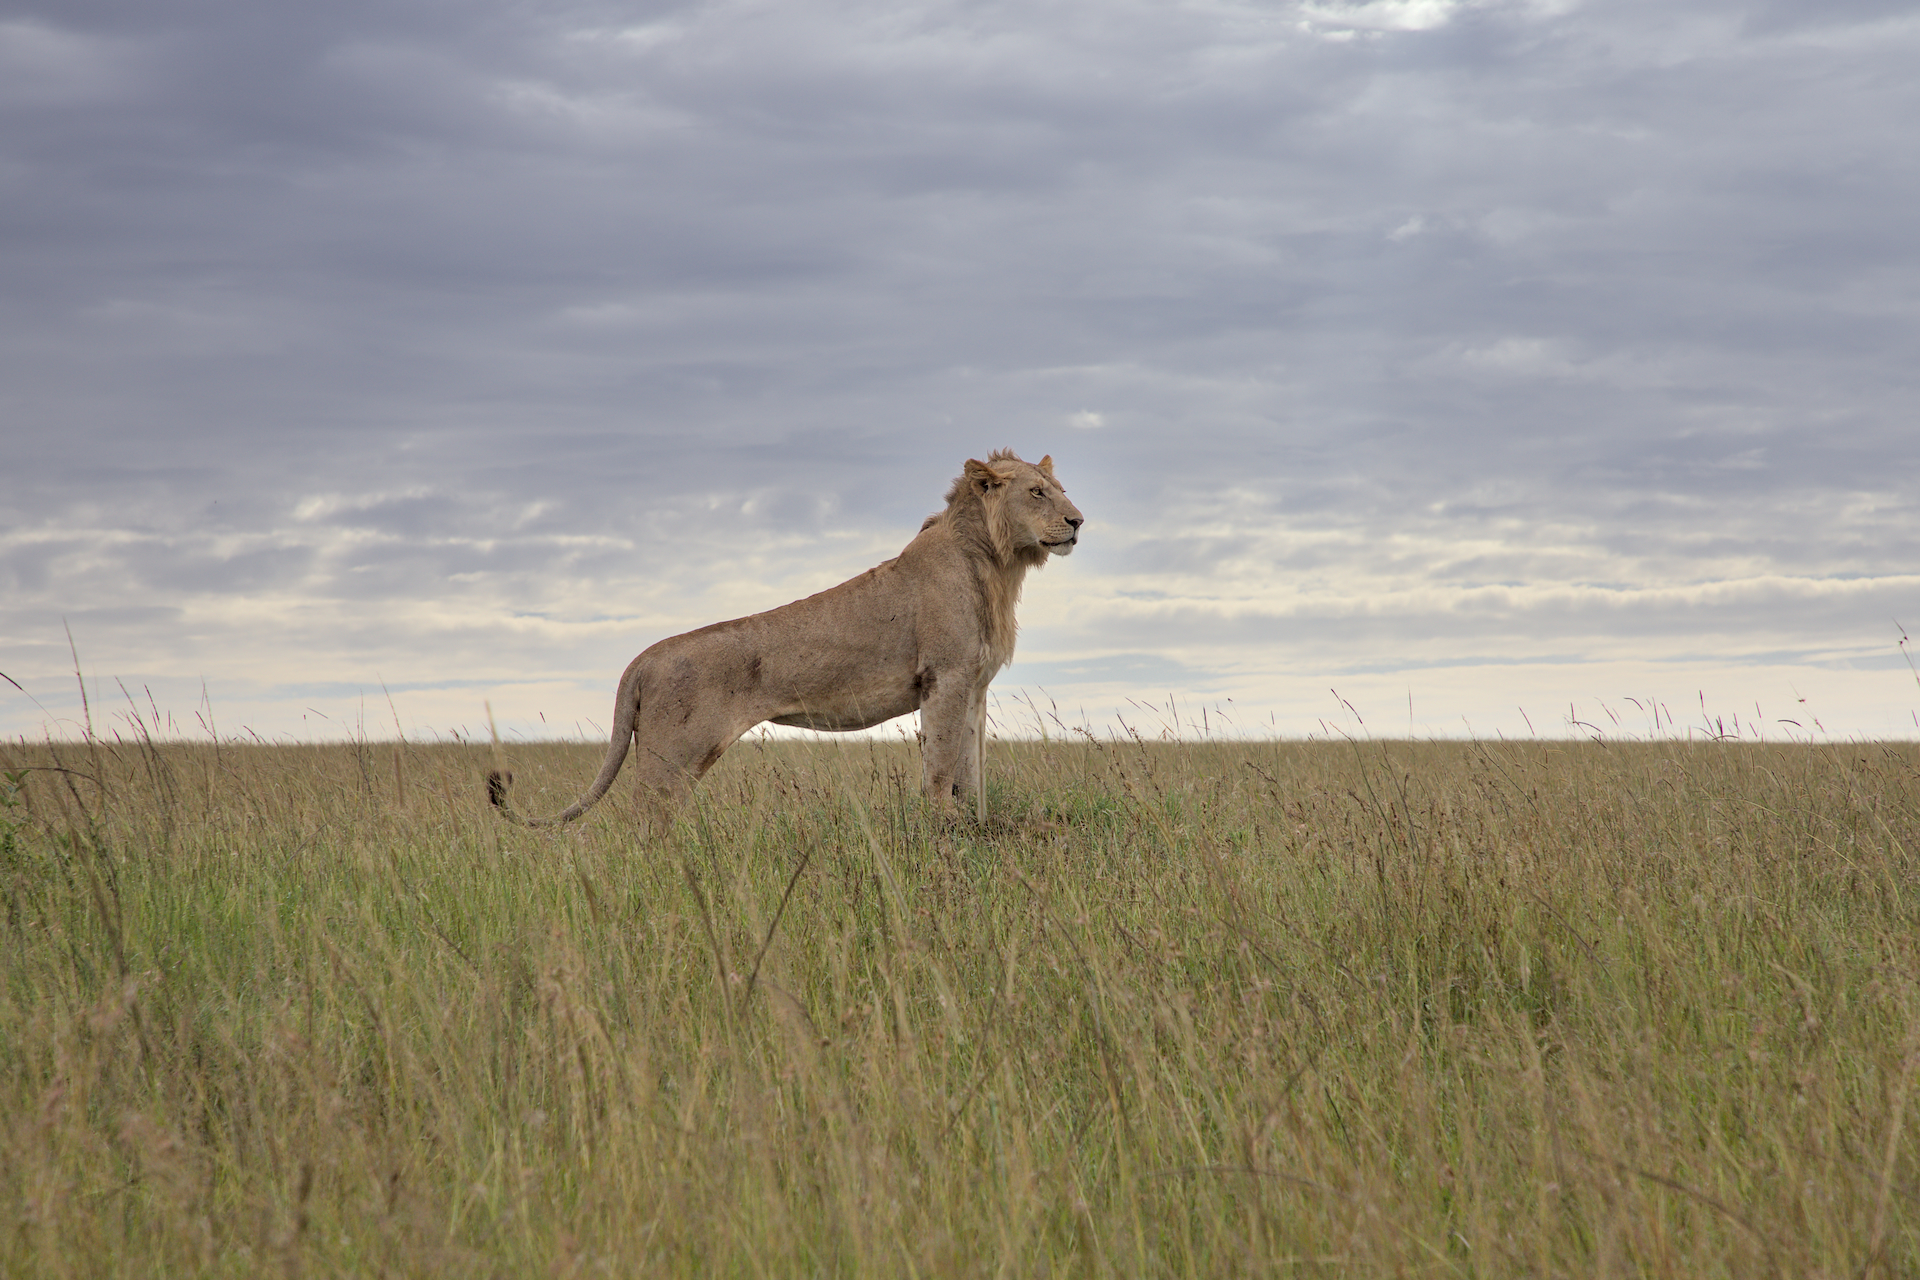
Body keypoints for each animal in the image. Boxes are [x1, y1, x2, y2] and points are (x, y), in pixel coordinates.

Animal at [487, 450, 1083, 828]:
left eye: (1060, 491)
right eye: (1037, 493)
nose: (1078, 521)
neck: (997, 563)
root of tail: (644, 658)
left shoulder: (974, 687)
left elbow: (972, 767)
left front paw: (977, 824)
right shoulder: (945, 677)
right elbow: (940, 767)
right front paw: (945, 827)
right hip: (671, 757)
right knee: (643, 819)